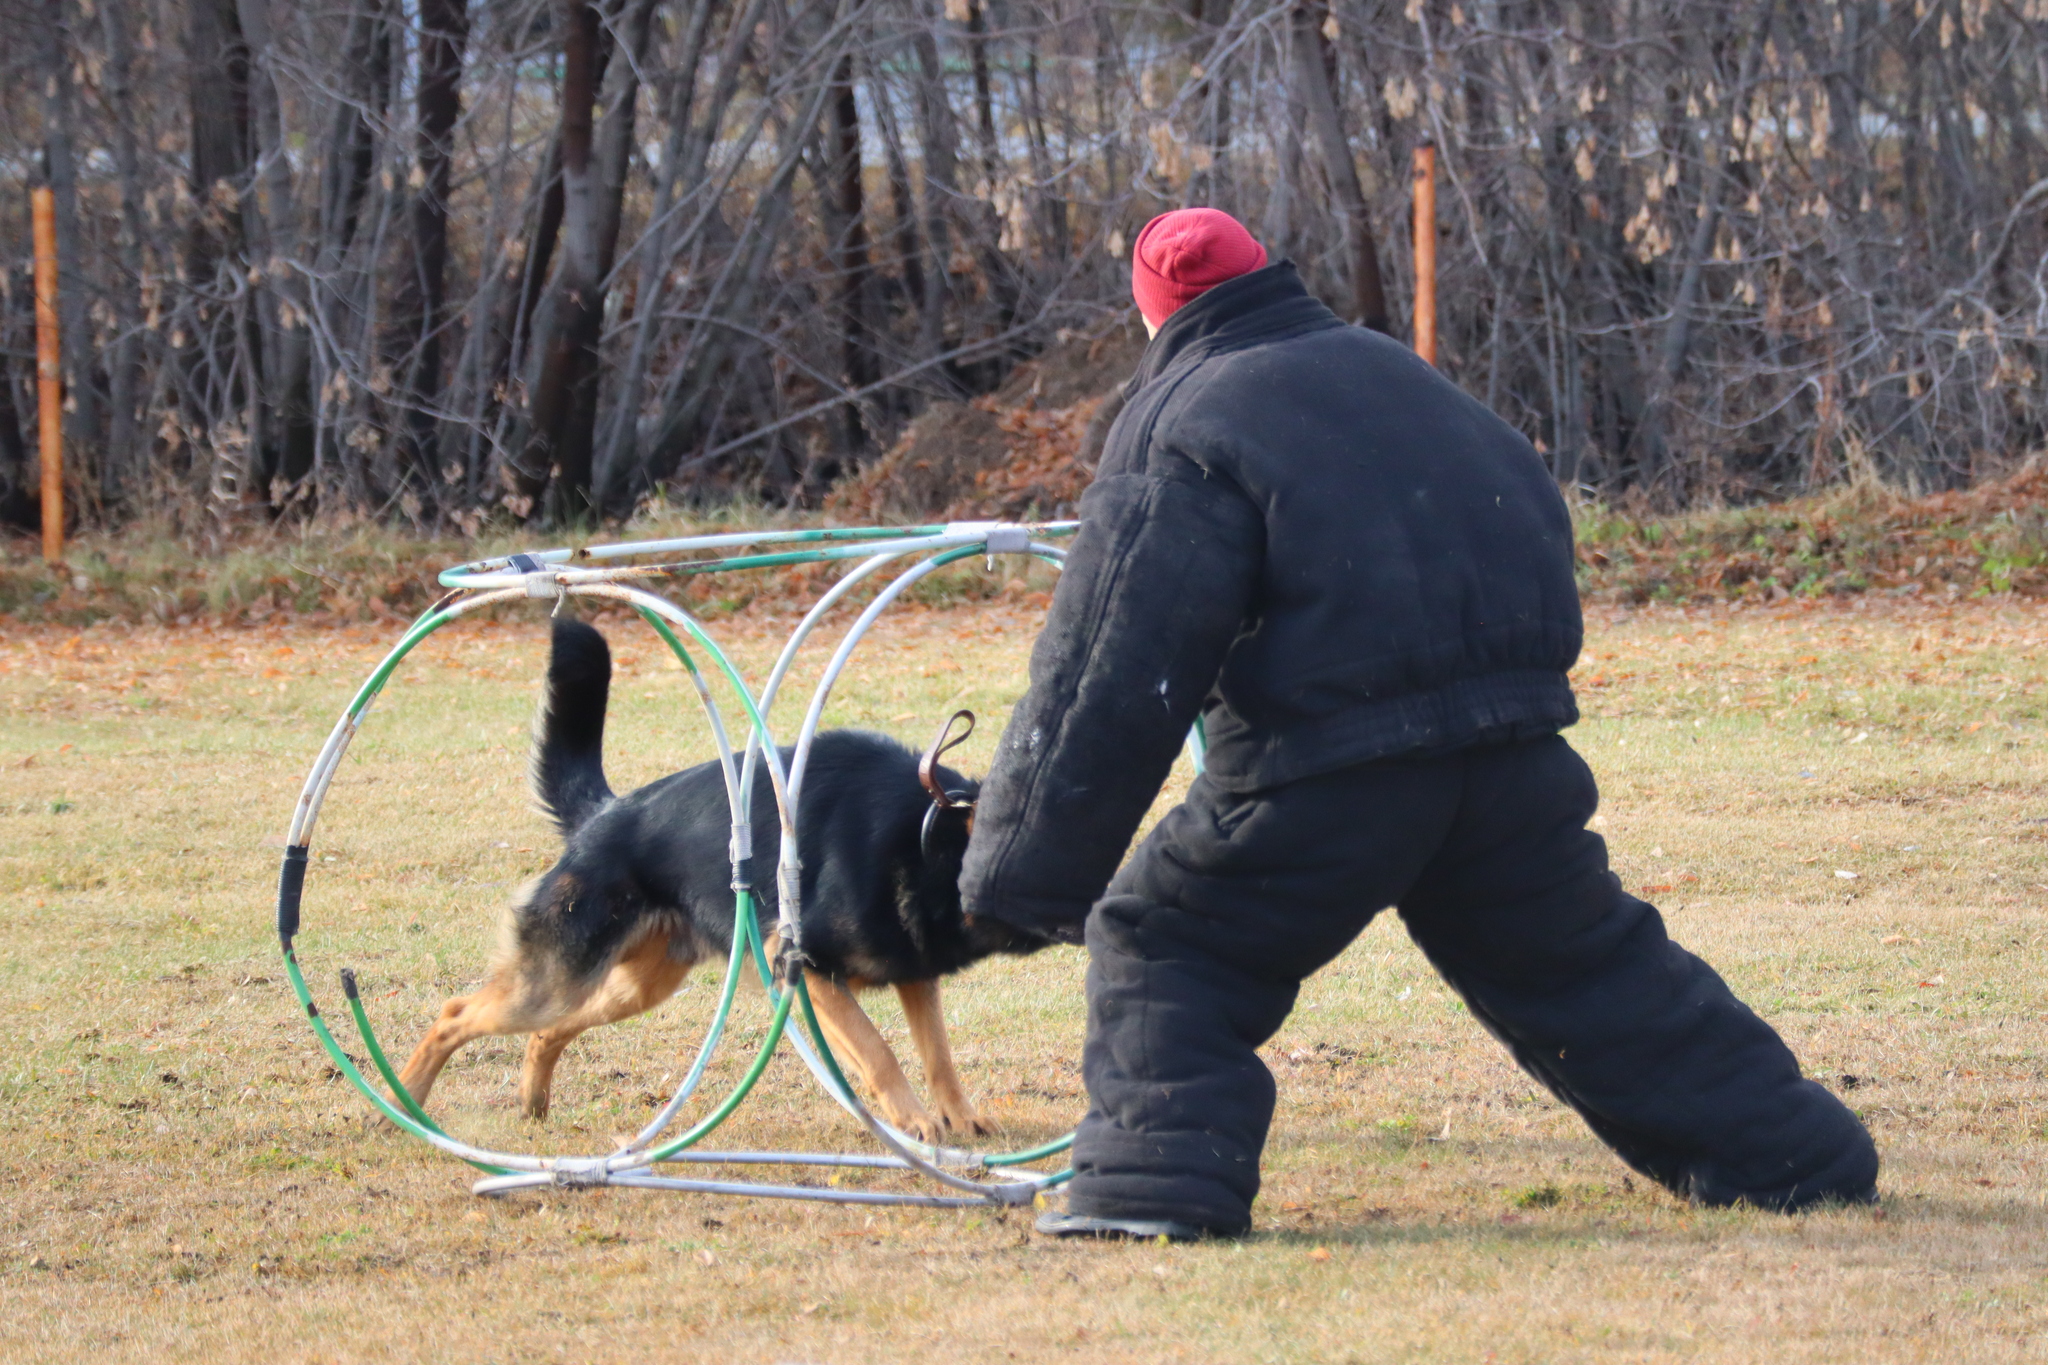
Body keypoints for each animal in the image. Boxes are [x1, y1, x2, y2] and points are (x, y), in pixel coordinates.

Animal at [395, 622, 1056, 1146]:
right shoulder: (804, 968)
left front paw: (959, 1116)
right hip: (554, 981)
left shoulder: (909, 974)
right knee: (456, 1013)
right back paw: (402, 1103)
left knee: (547, 1031)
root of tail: (604, 816)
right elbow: (877, 1049)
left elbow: (937, 1053)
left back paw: (531, 1105)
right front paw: (914, 1120)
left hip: (632, 988)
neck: (925, 840)